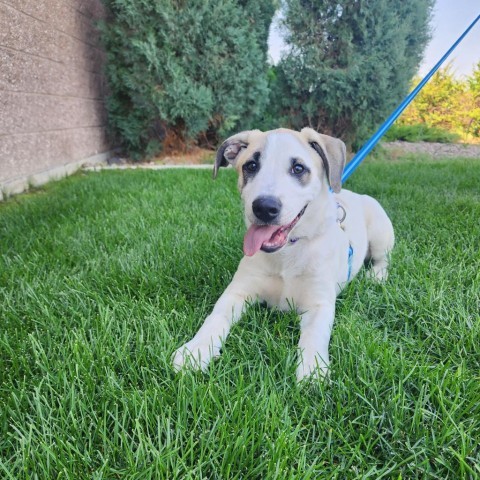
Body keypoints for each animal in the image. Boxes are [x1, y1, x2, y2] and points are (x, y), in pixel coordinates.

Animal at [172, 128, 394, 382]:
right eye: (251, 166)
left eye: (298, 168)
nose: (264, 208)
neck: (287, 253)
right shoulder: (238, 291)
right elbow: (216, 316)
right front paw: (195, 351)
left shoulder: (320, 303)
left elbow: (315, 334)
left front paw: (312, 370)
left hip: (381, 232)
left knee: (384, 259)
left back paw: (376, 276)